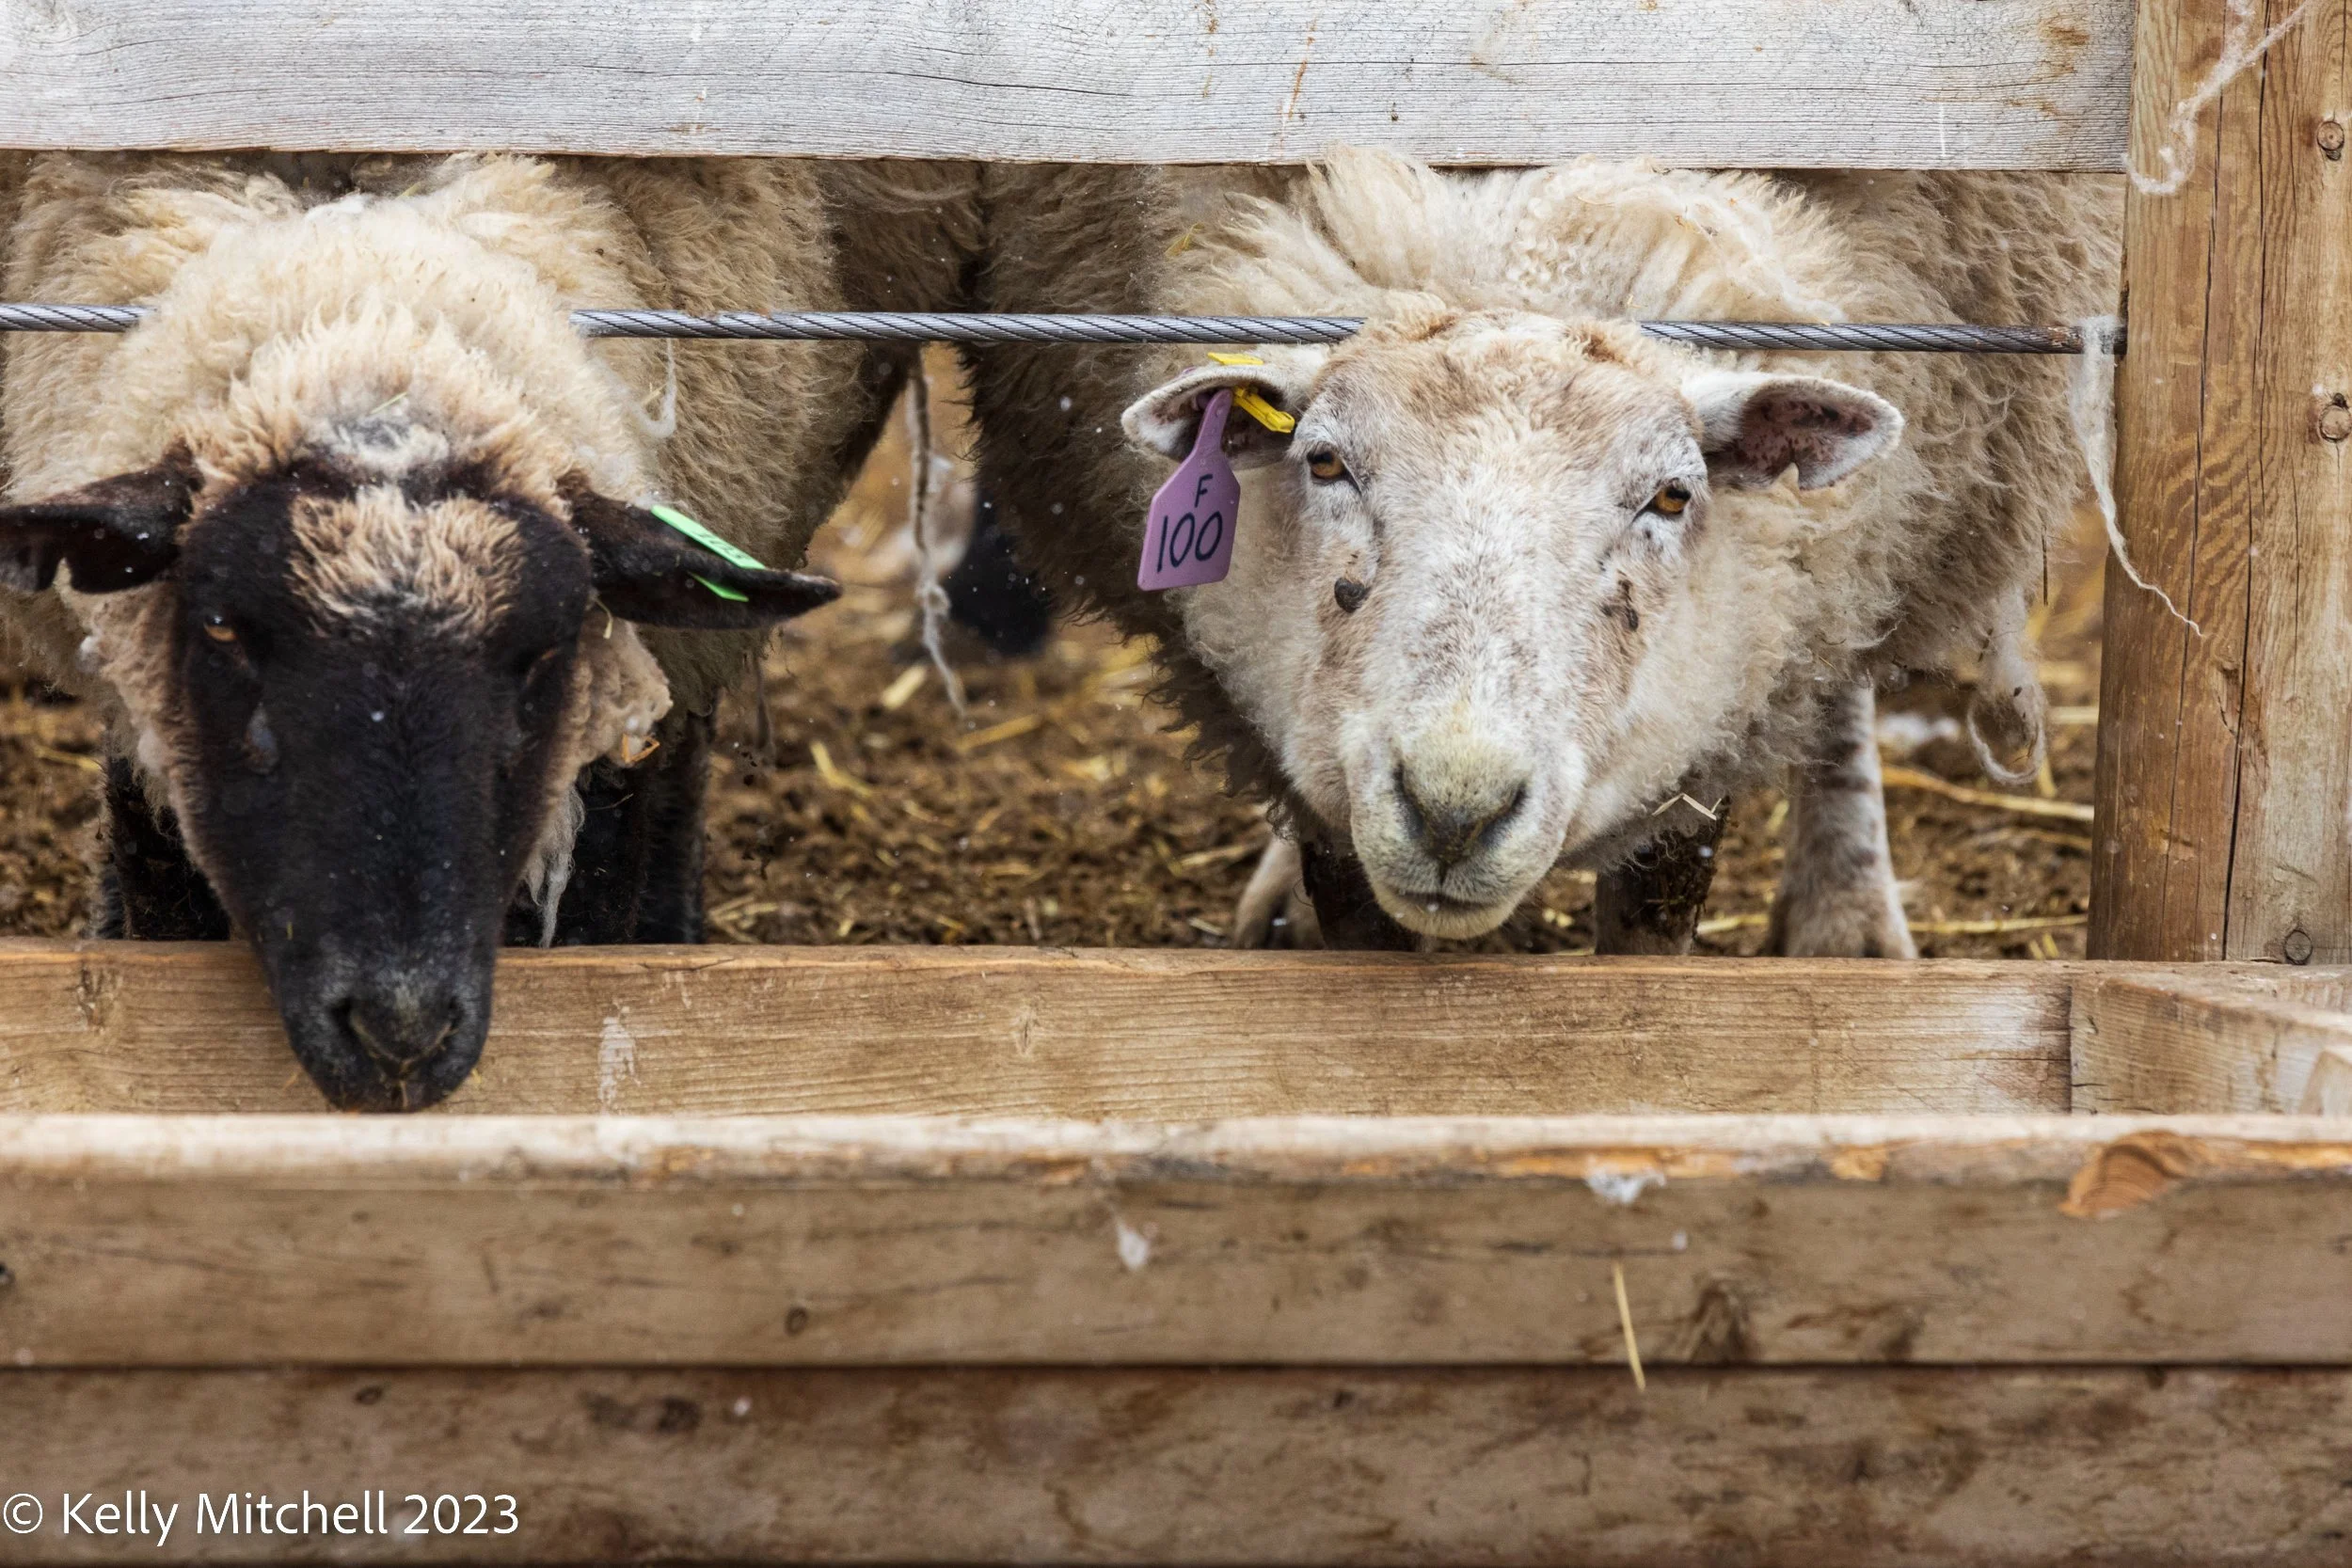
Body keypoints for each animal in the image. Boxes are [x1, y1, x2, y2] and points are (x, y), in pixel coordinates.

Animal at [963, 153, 2119, 953]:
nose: (1454, 811)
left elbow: (1660, 894)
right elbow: (1351, 901)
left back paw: (1847, 917)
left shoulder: (1717, 682)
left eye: (1671, 494)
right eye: (1325, 462)